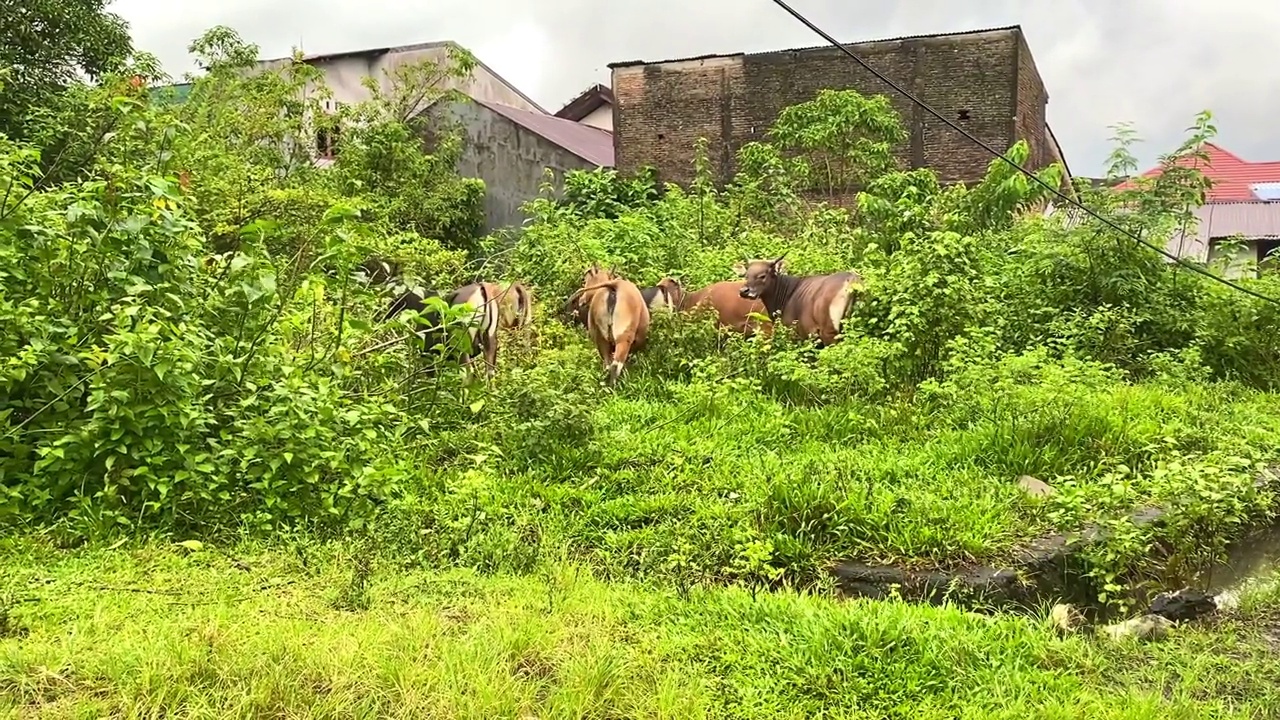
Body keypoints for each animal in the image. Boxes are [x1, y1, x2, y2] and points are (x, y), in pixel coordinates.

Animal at [737, 252, 865, 345]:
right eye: (747, 275)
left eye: (762, 276)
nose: (744, 291)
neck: (787, 295)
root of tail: (852, 281)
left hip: (830, 332)